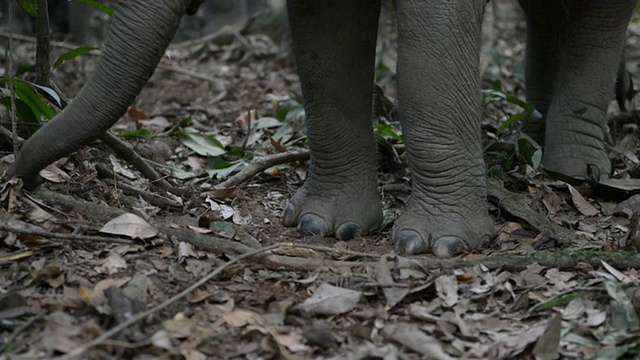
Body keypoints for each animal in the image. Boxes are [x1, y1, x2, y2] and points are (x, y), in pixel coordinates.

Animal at [3, 0, 636, 258]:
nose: (20, 178)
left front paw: (435, 244)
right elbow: (325, 45)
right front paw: (324, 227)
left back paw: (572, 170)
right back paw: (535, 136)